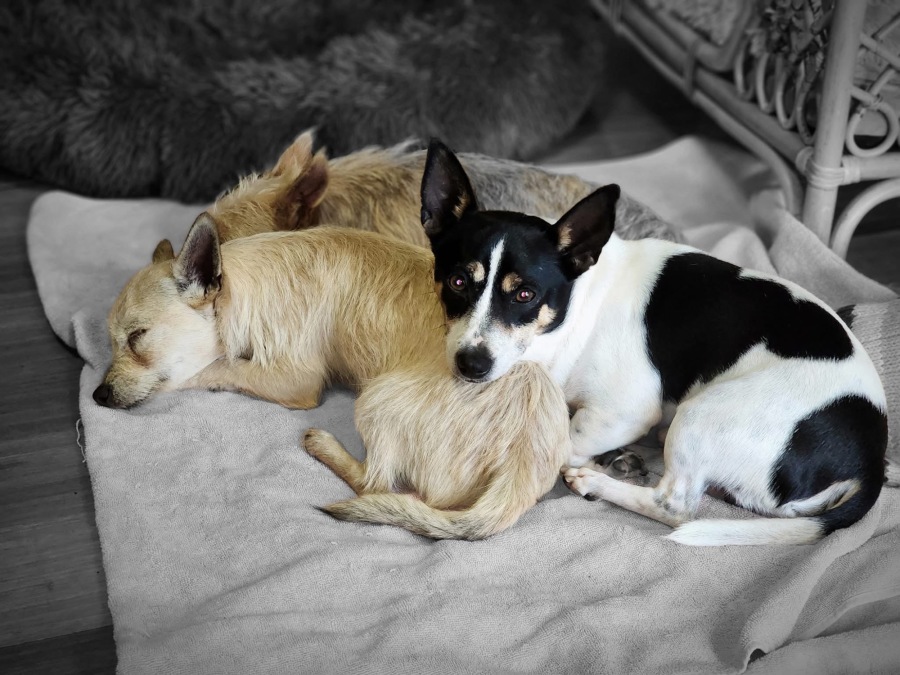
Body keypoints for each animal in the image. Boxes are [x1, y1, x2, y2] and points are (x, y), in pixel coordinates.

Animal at [420, 139, 890, 546]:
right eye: (457, 282)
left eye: (524, 295)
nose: (470, 364)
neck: (575, 309)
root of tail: (871, 459)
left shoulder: (623, 411)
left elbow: (566, 443)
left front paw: (592, 461)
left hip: (700, 415)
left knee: (674, 504)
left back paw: (599, 481)